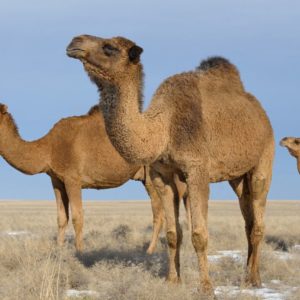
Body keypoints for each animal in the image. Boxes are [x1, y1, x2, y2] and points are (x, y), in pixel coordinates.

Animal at [0, 104, 188, 252]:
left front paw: (79, 252)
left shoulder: (73, 179)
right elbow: (61, 218)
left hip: (151, 174)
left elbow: (77, 217)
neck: (48, 149)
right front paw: (58, 250)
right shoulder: (56, 180)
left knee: (159, 213)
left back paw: (150, 251)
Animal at [67, 35, 276, 296]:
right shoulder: (162, 175)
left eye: (109, 47)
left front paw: (206, 287)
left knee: (258, 220)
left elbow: (199, 233)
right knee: (248, 219)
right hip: (237, 176)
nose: (75, 42)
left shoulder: (197, 170)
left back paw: (254, 279)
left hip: (263, 159)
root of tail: (260, 112)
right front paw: (172, 281)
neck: (163, 130)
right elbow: (172, 233)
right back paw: (249, 274)